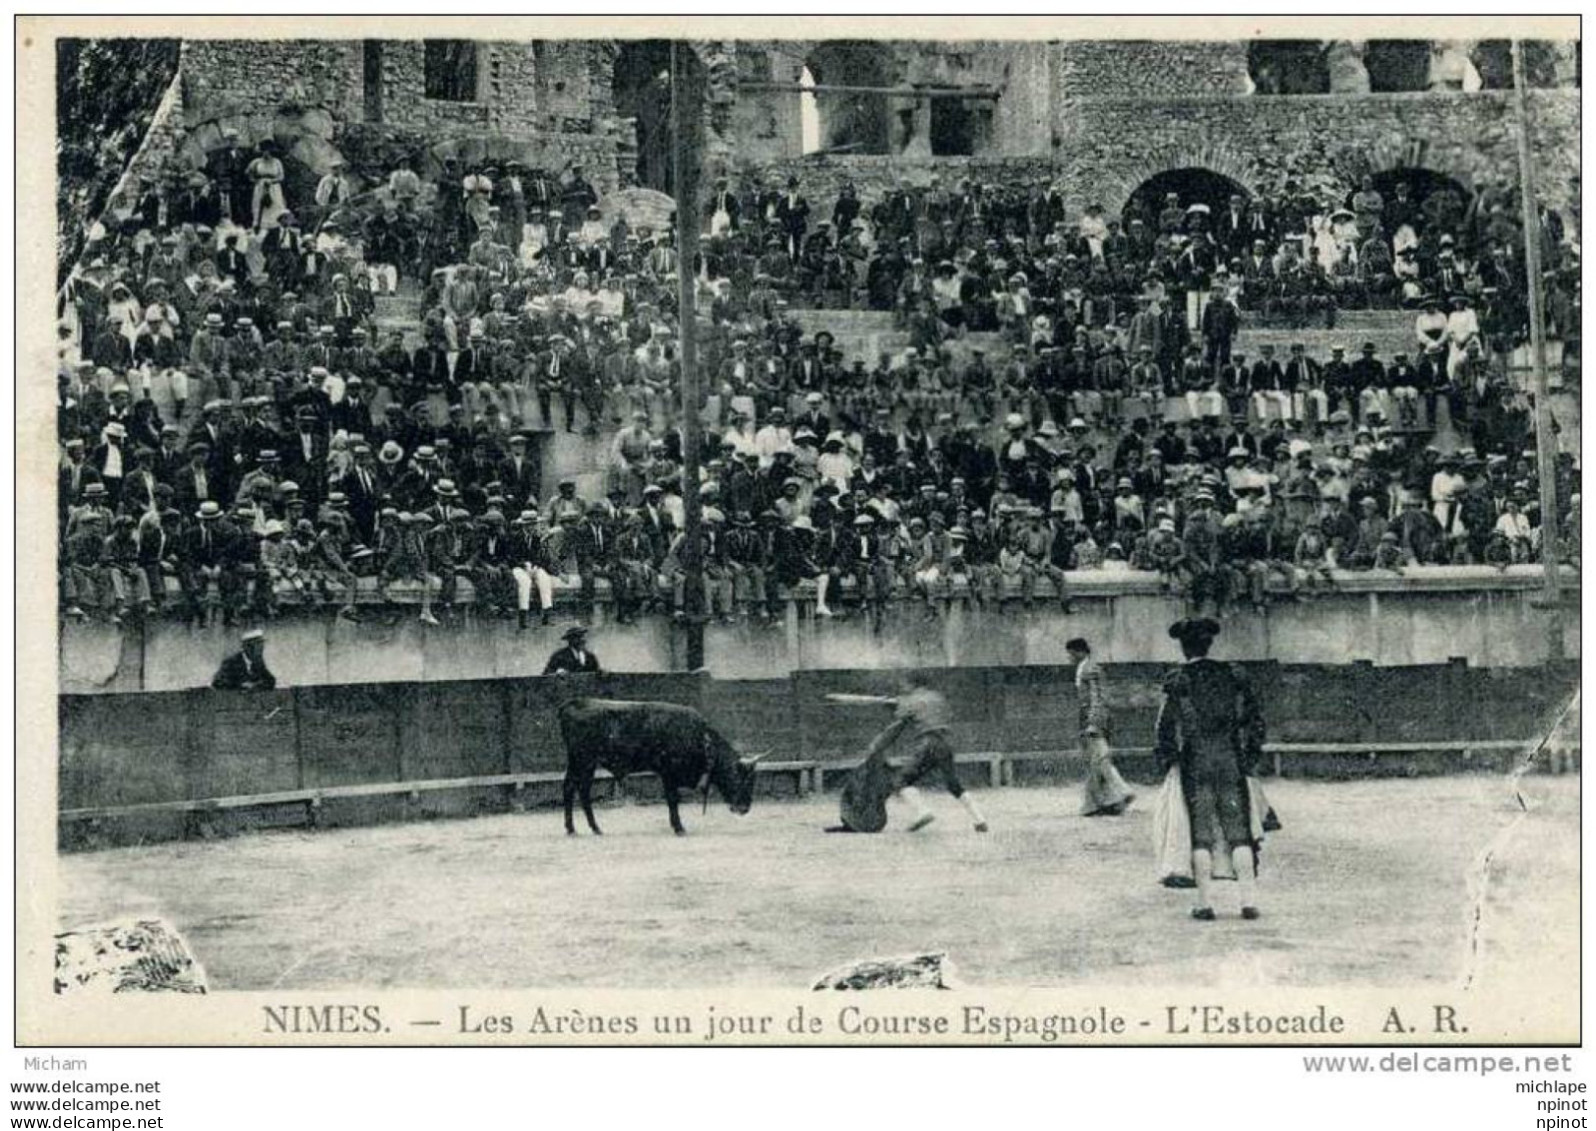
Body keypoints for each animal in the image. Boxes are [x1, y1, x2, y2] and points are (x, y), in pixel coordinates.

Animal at [558, 692, 762, 835]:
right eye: (739, 778)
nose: (745, 808)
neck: (701, 738)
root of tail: (574, 703)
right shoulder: (669, 773)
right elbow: (673, 799)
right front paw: (679, 827)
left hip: (581, 764)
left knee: (575, 788)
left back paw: (579, 828)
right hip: (583, 761)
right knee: (577, 789)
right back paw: (586, 828)